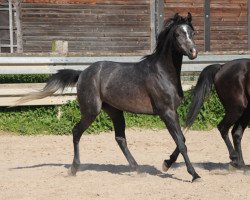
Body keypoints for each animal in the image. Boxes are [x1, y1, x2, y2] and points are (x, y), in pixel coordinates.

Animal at [17, 12, 200, 181]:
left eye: (192, 32)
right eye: (177, 34)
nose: (193, 52)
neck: (162, 73)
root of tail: (82, 73)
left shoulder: (172, 112)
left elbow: (182, 139)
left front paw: (167, 164)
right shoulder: (166, 112)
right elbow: (181, 143)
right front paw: (194, 174)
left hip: (115, 111)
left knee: (120, 138)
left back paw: (137, 169)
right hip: (91, 110)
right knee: (76, 132)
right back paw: (74, 168)